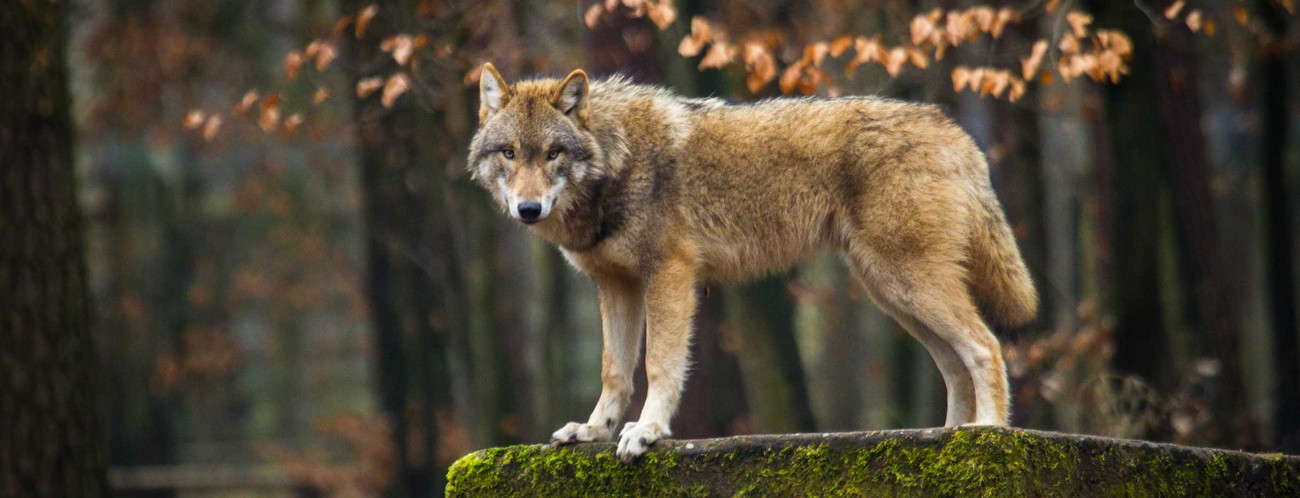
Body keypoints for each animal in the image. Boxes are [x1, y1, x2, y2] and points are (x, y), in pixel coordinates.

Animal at [468, 62, 1038, 461]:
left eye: (553, 154)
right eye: (510, 153)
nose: (528, 209)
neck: (618, 158)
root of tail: (954, 131)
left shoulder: (669, 275)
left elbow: (658, 365)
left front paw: (647, 431)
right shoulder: (615, 286)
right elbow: (614, 371)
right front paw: (593, 432)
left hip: (907, 284)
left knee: (985, 346)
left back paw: (988, 433)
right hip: (893, 293)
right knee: (954, 363)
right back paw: (947, 436)